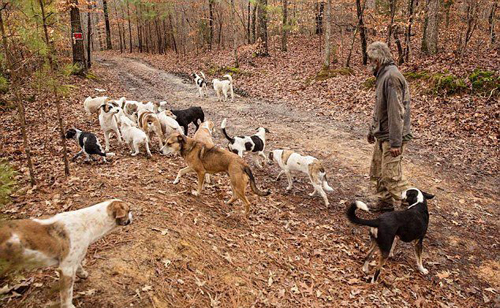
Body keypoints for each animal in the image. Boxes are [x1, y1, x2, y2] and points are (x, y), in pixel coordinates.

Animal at [0, 200, 133, 308]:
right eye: (129, 210)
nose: (134, 215)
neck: (87, 223)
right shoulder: (66, 269)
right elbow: (67, 294)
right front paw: (69, 305)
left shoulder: (73, 259)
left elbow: (79, 266)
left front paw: (82, 274)